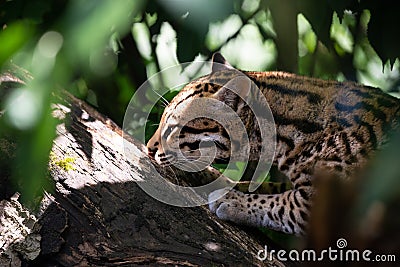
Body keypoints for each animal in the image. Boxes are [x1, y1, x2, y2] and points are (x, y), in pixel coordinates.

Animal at [147, 51, 400, 234]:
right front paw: (213, 178)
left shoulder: (329, 202)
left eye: (172, 128)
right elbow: (266, 187)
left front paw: (233, 201)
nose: (149, 149)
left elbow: (281, 203)